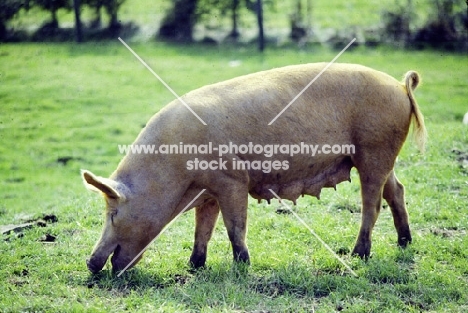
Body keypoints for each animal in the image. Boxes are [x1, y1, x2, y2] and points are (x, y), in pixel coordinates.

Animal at [82, 62, 426, 272]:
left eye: (112, 213)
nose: (89, 263)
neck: (176, 175)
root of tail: (400, 86)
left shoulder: (232, 179)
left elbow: (234, 226)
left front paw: (241, 265)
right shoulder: (208, 191)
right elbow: (203, 228)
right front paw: (194, 265)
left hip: (373, 150)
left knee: (373, 203)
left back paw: (359, 255)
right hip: (379, 156)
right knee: (397, 190)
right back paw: (405, 242)